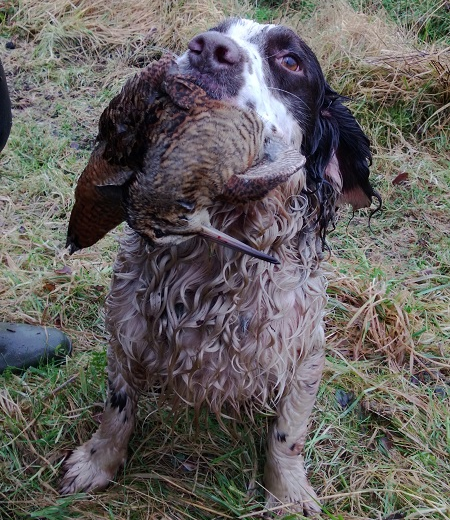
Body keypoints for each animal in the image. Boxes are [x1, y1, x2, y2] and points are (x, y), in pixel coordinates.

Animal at [60, 17, 380, 516]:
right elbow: (118, 408)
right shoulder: (125, 333)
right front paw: (97, 462)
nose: (208, 49)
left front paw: (288, 493)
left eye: (291, 61)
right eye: (216, 30)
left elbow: (287, 434)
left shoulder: (305, 354)